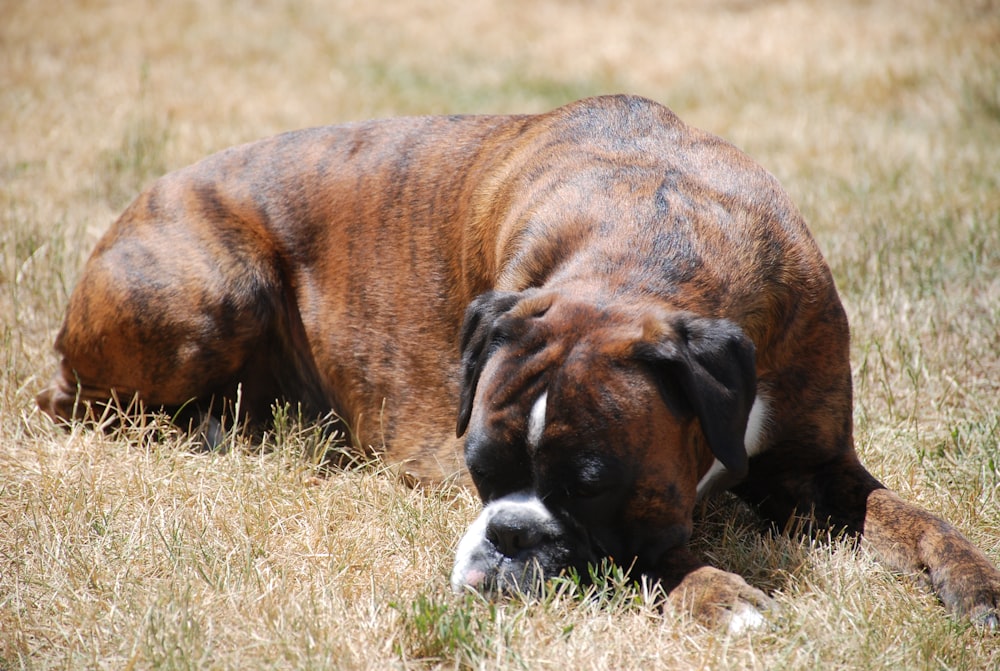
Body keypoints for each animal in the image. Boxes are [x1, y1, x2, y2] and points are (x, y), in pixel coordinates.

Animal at [35, 96, 996, 636]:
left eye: (594, 483)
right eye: (480, 471)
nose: (508, 537)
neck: (657, 235)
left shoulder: (814, 468)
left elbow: (918, 521)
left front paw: (978, 580)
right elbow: (647, 560)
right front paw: (721, 593)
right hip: (213, 295)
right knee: (80, 406)